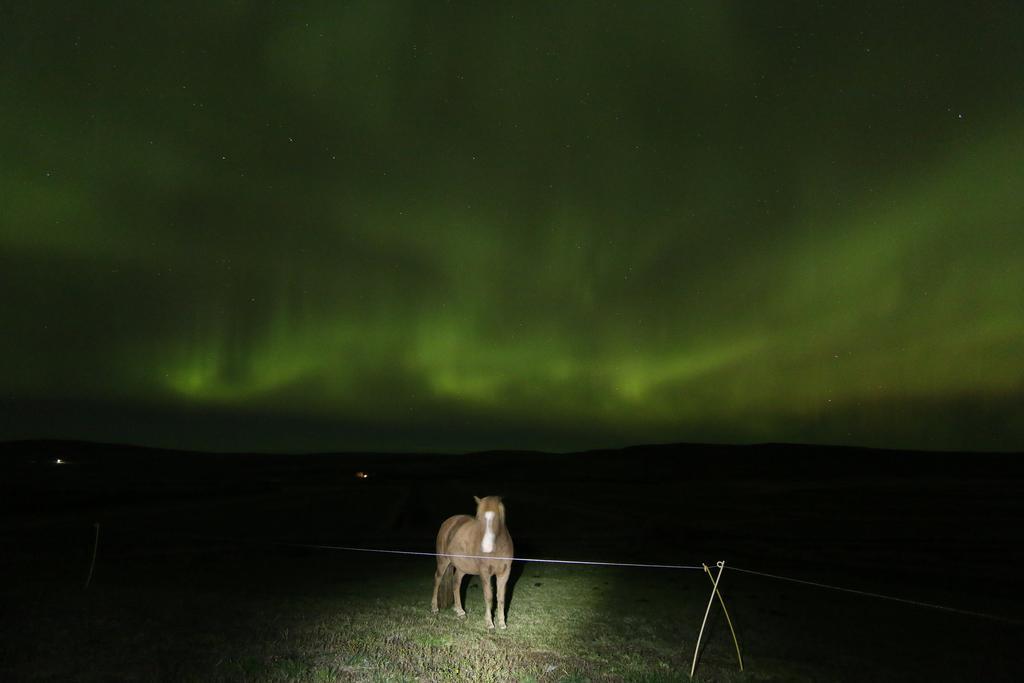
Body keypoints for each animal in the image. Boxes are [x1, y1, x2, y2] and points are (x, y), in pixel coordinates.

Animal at [430, 497, 512, 630]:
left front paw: (502, 623)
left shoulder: (504, 573)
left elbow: (501, 597)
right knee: (437, 580)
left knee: (456, 583)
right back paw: (434, 608)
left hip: (461, 568)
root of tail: (448, 522)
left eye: (497, 518)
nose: (486, 547)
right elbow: (489, 596)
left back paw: (460, 611)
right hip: (443, 561)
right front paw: (489, 623)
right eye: (478, 518)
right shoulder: (485, 573)